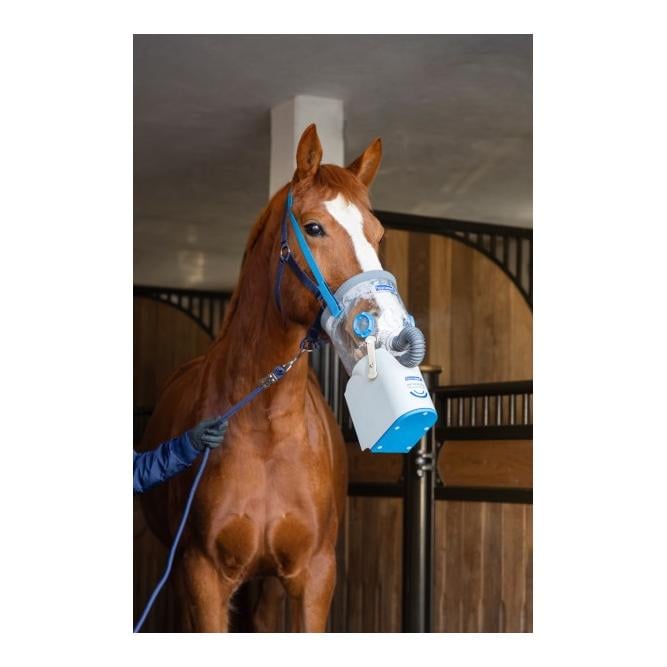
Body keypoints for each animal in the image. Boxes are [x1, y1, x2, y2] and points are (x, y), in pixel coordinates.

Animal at [138, 124, 384, 632]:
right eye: (313, 227)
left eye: (378, 235)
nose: (385, 322)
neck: (267, 430)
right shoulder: (202, 577)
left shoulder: (315, 577)